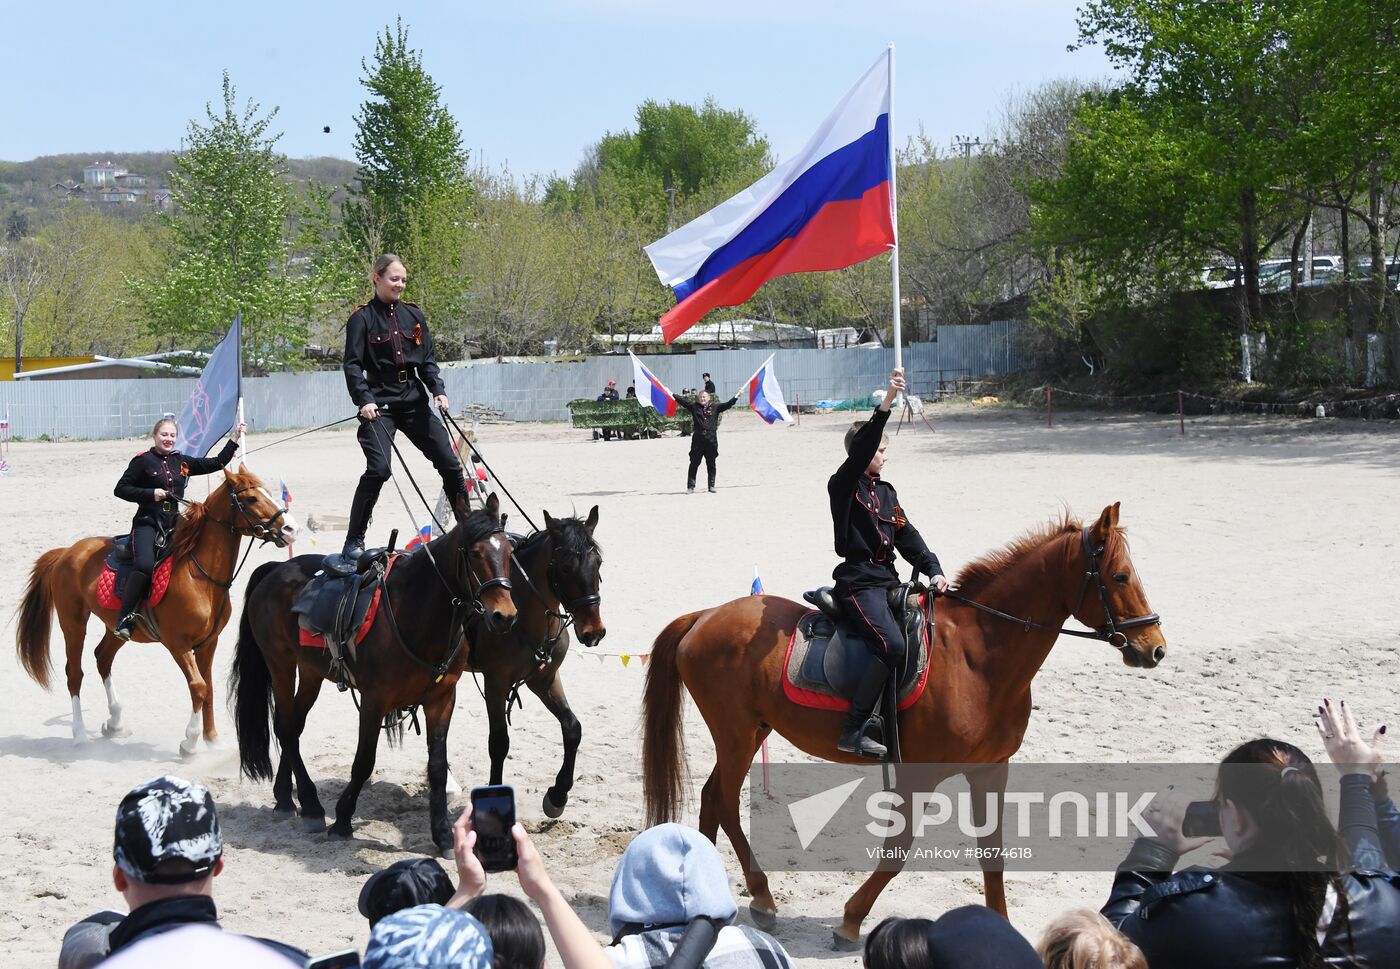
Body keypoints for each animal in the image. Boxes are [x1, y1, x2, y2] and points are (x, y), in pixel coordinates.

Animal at [15, 464, 301, 756]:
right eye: (252, 498)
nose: (291, 529)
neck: (199, 575)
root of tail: (67, 552)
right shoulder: (178, 644)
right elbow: (198, 687)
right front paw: (190, 743)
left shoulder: (208, 644)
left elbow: (208, 688)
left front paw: (212, 739)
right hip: (73, 624)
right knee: (75, 674)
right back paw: (80, 735)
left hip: (116, 629)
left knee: (102, 658)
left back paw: (116, 722)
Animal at [235, 495, 520, 851]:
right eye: (476, 553)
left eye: (508, 552)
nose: (504, 616)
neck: (416, 611)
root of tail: (275, 569)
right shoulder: (375, 700)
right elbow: (363, 761)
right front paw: (343, 819)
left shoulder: (442, 698)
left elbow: (438, 767)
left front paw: (441, 832)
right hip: (280, 663)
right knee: (285, 727)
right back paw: (312, 805)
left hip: (311, 671)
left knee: (294, 728)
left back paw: (286, 797)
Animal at [470, 506, 607, 817]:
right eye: (565, 567)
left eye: (599, 562)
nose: (593, 631)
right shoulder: (495, 683)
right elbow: (499, 742)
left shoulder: (543, 679)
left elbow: (572, 728)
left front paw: (558, 794)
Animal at [641, 504, 1164, 940]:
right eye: (1120, 576)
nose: (1155, 648)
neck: (979, 655)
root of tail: (706, 615)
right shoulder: (920, 774)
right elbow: (898, 849)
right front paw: (851, 921)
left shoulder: (991, 769)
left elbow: (992, 852)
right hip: (737, 735)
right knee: (725, 802)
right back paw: (763, 899)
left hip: (751, 734)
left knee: (712, 799)